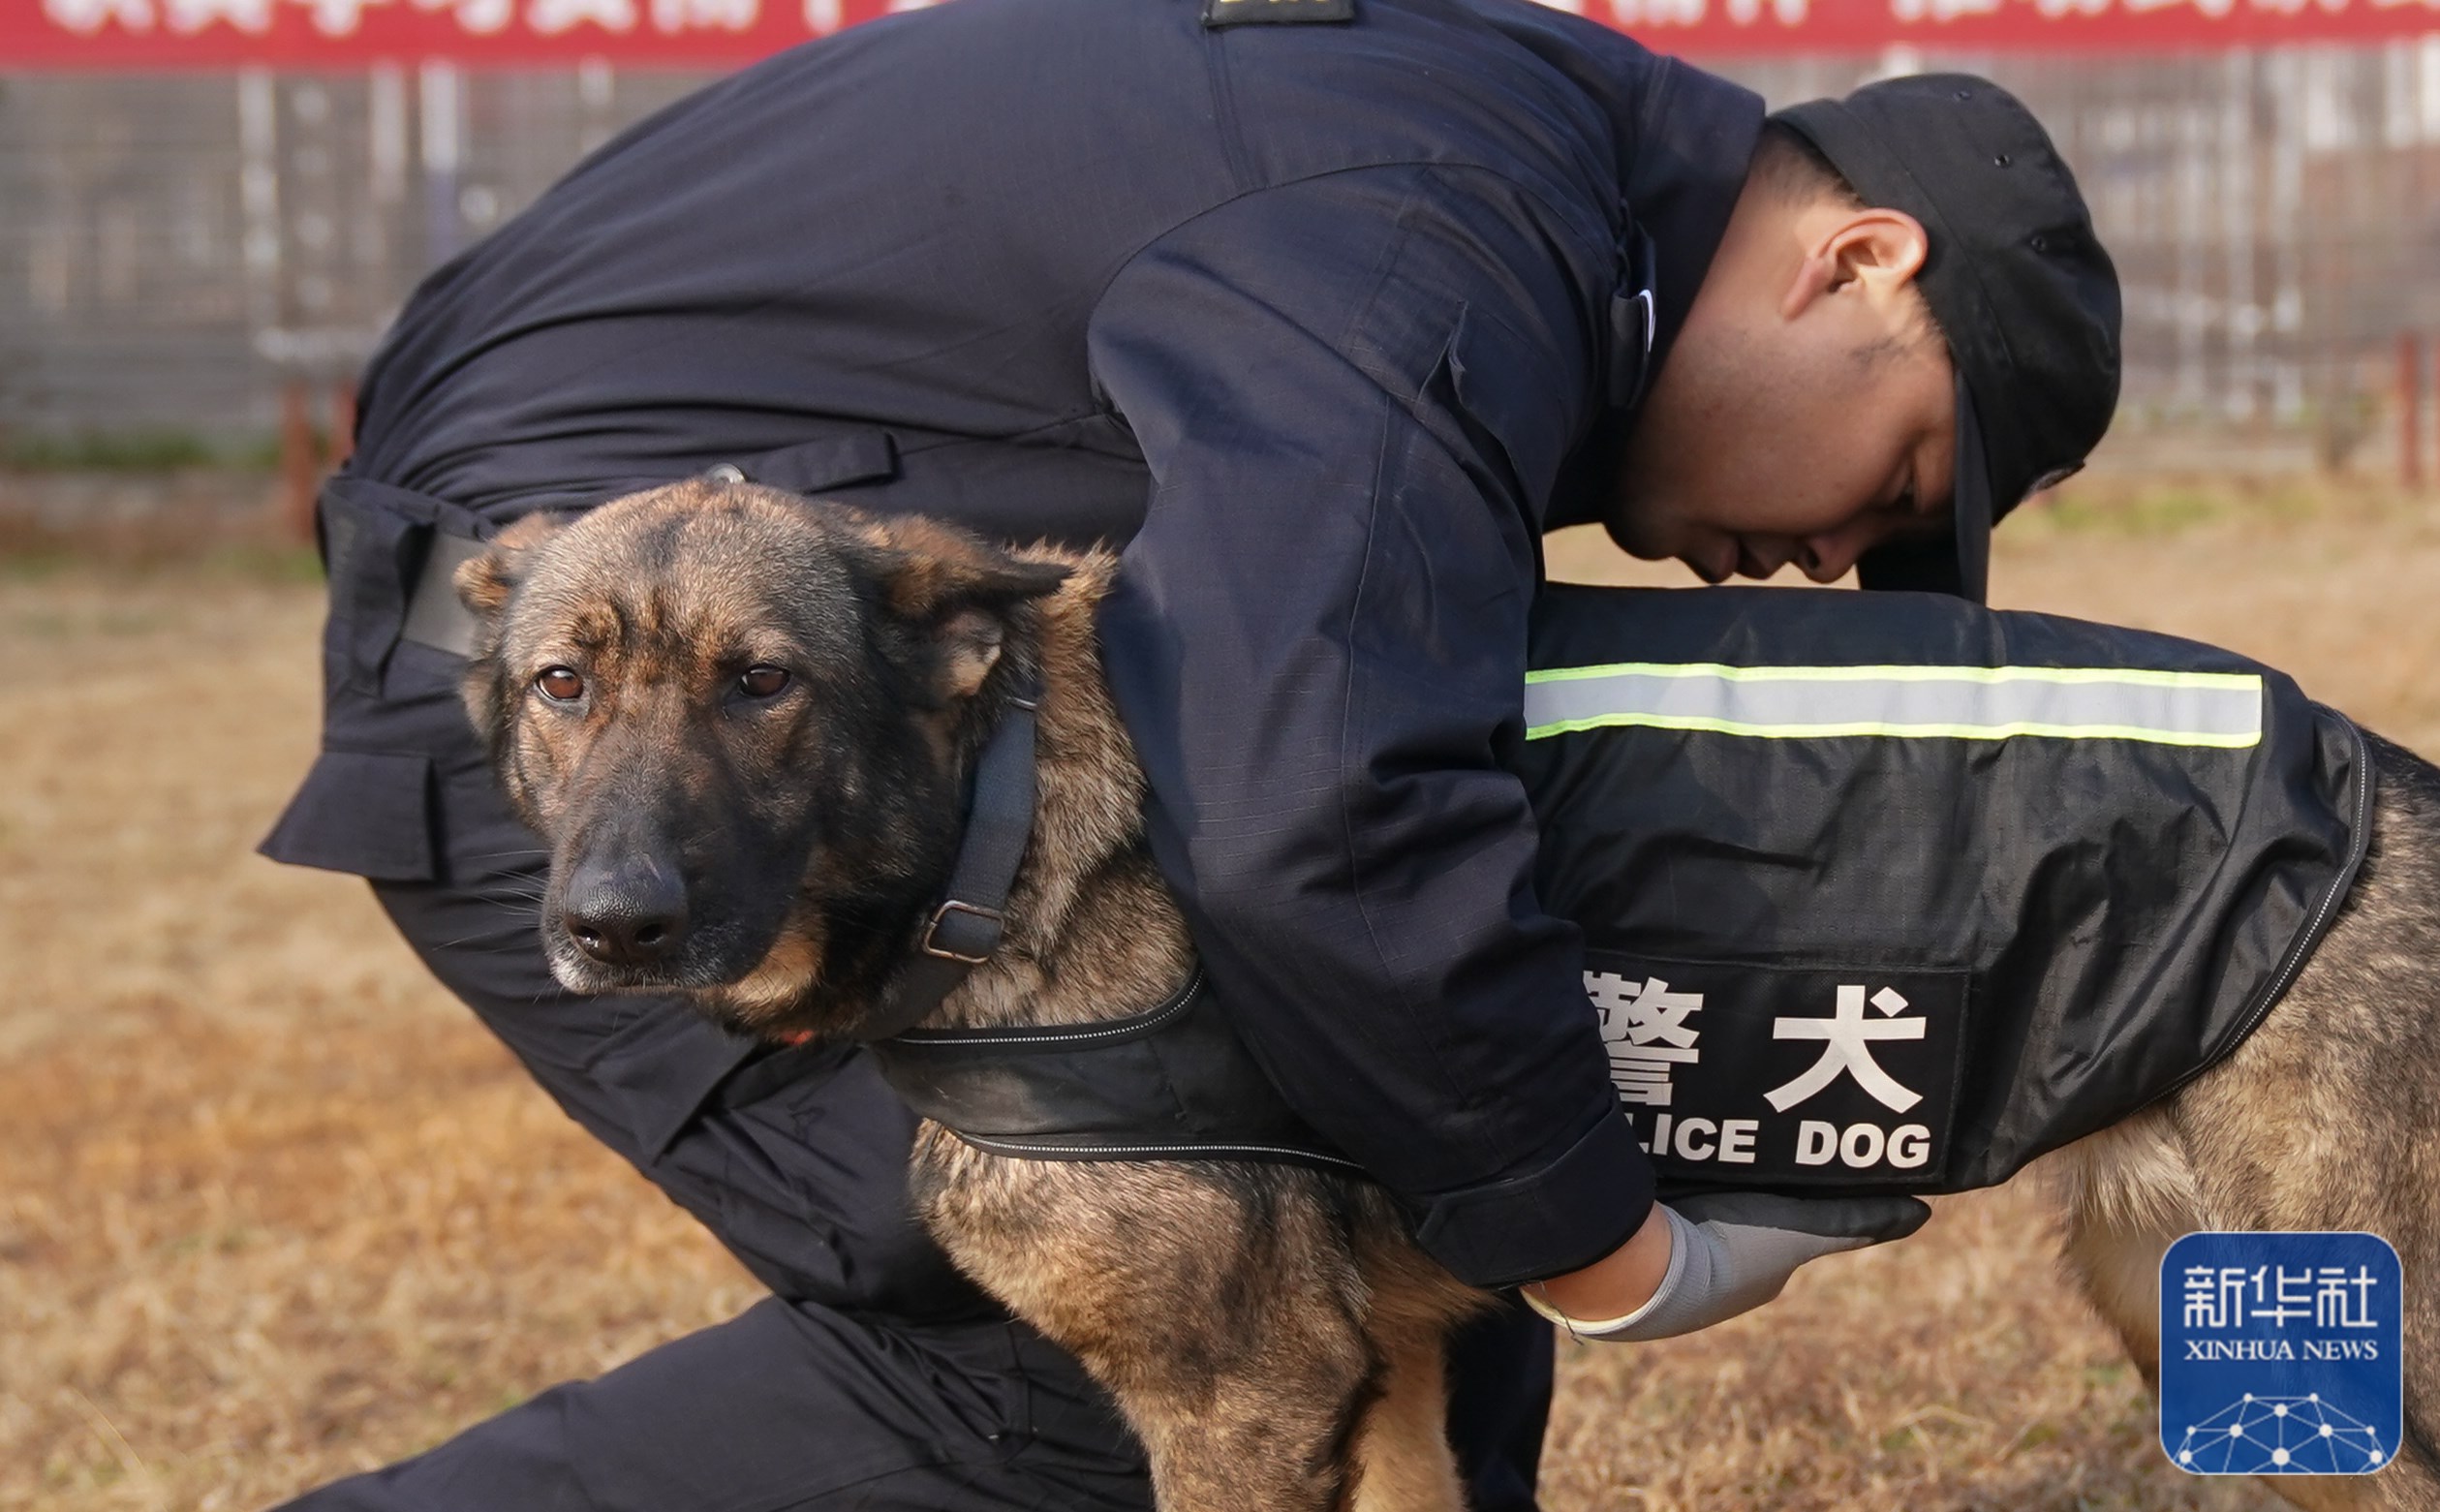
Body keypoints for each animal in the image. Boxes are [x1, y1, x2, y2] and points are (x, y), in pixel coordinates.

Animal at [458, 478, 2440, 1501]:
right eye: (563, 686)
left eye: (762, 683)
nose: (610, 926)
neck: (994, 818)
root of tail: (2368, 773)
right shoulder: (1382, 1386)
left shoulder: (1244, 1400)